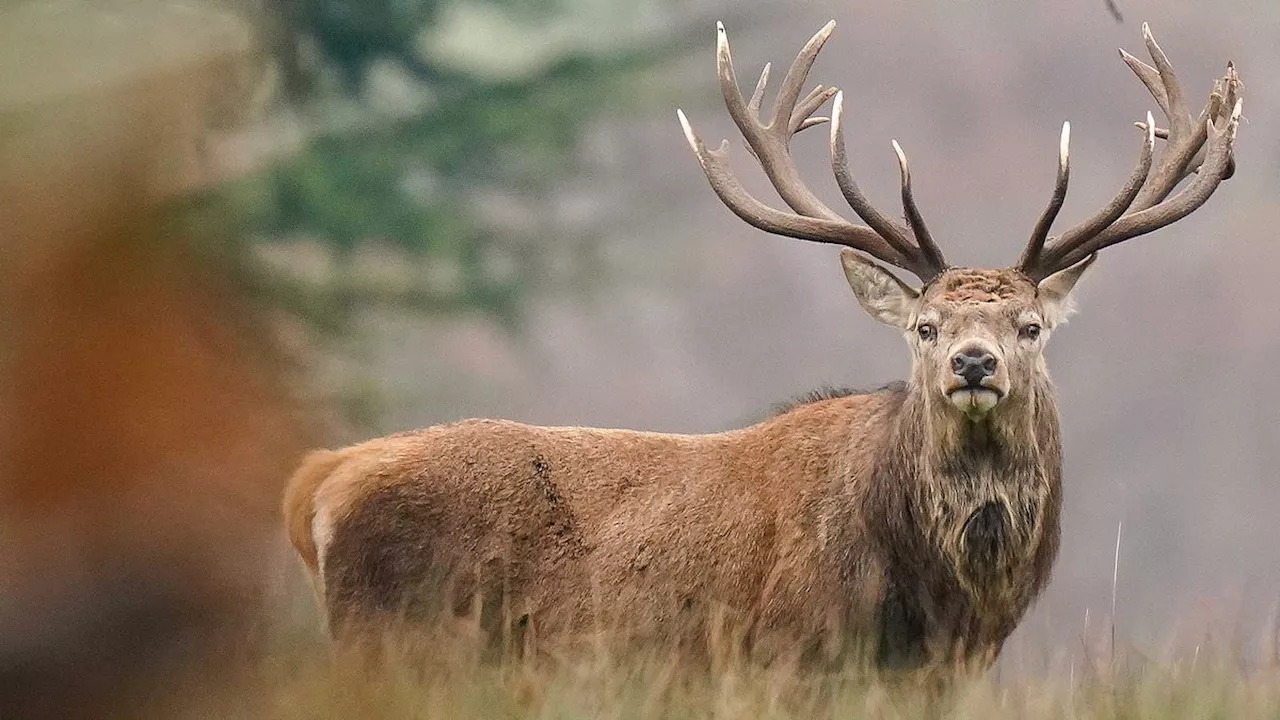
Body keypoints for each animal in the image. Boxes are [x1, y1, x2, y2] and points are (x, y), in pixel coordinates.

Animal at [282, 23, 1239, 671]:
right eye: (924, 327)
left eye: (1029, 326)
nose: (974, 363)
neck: (940, 602)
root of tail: (320, 481)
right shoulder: (788, 655)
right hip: (396, 641)